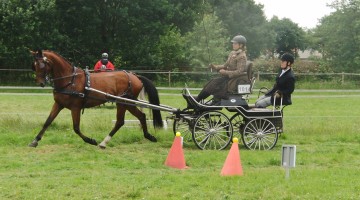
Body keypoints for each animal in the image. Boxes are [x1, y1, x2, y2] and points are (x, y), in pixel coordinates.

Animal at [28, 49, 163, 148]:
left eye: (41, 64)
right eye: (34, 65)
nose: (40, 83)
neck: (70, 80)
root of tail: (135, 76)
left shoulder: (75, 107)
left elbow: (76, 127)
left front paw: (90, 140)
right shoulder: (58, 104)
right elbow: (47, 122)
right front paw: (35, 141)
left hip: (123, 102)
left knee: (120, 121)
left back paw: (104, 142)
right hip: (128, 104)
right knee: (141, 116)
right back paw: (148, 136)